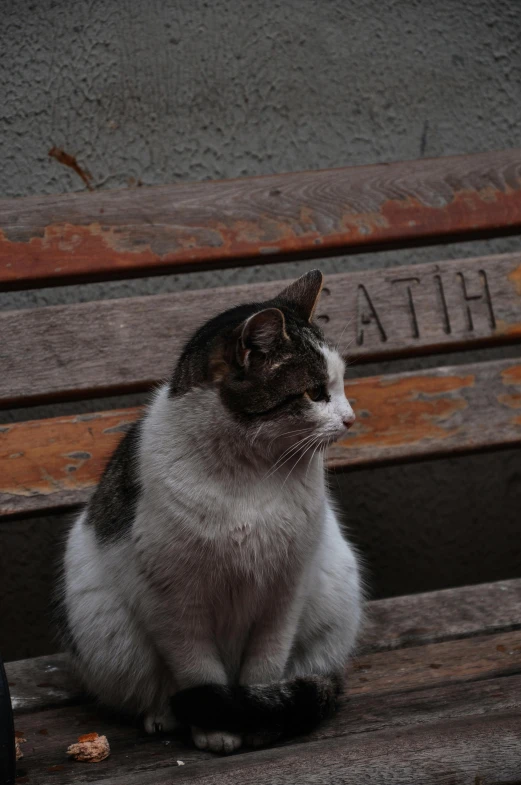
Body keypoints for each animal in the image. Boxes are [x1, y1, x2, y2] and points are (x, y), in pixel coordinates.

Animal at [60, 272, 362, 752]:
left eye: (342, 384)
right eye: (315, 393)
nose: (351, 418)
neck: (250, 474)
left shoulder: (286, 589)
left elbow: (264, 667)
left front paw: (258, 718)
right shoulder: (170, 601)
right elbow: (198, 670)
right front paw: (217, 728)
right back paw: (165, 714)